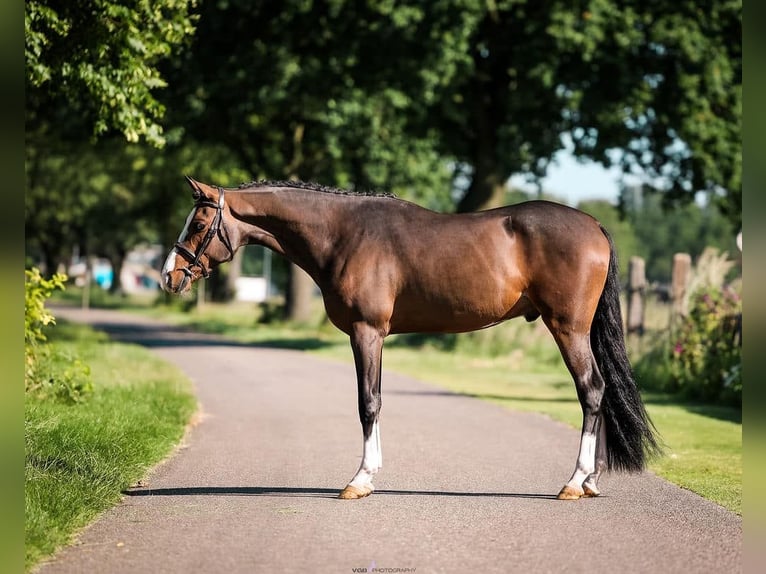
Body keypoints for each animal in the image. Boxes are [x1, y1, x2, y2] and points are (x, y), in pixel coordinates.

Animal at [160, 178, 660, 502]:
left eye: (199, 224)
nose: (169, 275)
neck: (343, 234)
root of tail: (594, 226)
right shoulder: (372, 336)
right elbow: (376, 401)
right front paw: (370, 475)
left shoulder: (367, 333)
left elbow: (368, 402)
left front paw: (359, 481)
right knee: (597, 392)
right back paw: (591, 482)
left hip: (568, 328)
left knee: (591, 391)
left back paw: (576, 482)